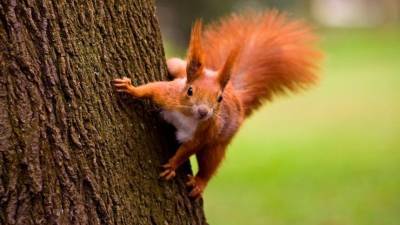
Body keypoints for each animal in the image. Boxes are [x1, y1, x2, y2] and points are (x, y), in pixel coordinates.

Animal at [112, 11, 322, 197]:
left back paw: (199, 182)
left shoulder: (204, 132)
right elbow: (151, 89)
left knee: (210, 163)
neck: (187, 115)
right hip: (179, 69)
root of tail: (236, 95)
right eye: (190, 91)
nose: (204, 112)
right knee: (176, 65)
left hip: (219, 143)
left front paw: (172, 166)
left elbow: (187, 150)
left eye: (219, 98)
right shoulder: (169, 95)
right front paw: (131, 88)